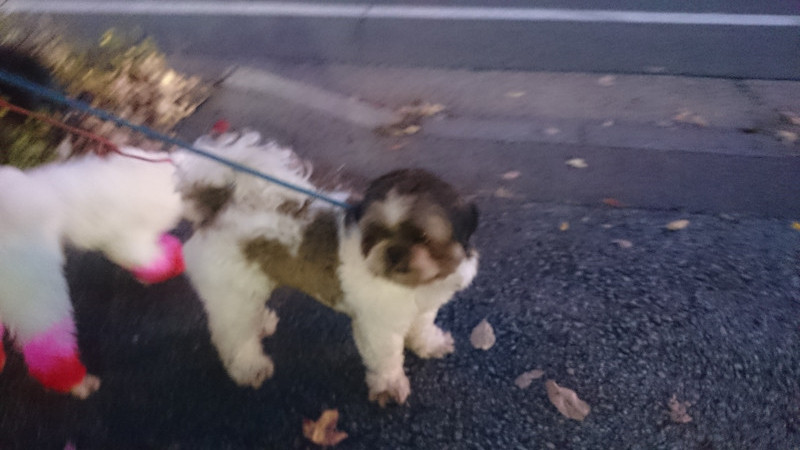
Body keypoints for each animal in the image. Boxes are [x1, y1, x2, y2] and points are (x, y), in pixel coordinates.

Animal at [0, 151, 185, 398]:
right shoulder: (127, 241)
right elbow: (151, 260)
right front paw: (176, 260)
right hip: (36, 296)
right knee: (49, 350)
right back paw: (76, 383)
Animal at [175, 131, 479, 406]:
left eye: (422, 237)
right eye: (375, 234)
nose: (393, 251)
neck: (414, 283)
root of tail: (217, 209)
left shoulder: (423, 307)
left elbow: (422, 327)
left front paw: (429, 344)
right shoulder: (378, 326)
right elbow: (387, 357)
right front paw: (390, 386)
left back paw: (260, 323)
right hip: (229, 292)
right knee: (234, 334)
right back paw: (249, 366)